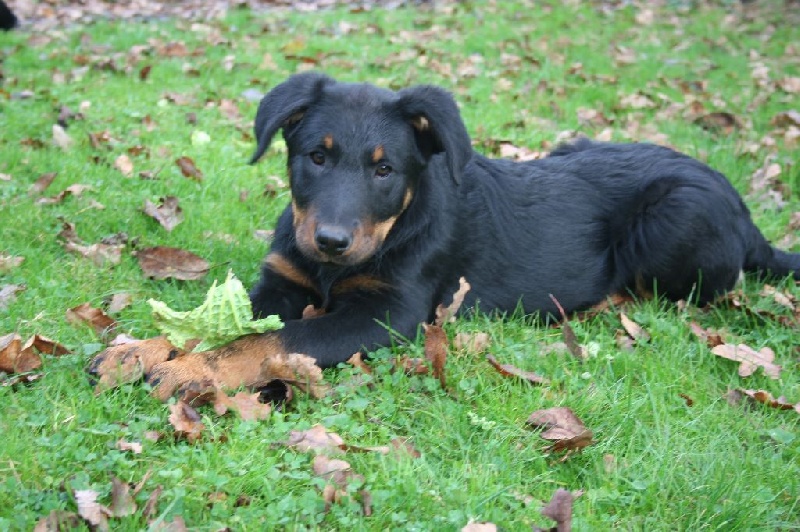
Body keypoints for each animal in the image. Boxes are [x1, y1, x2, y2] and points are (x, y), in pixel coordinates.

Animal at [89, 74, 800, 400]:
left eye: (385, 170)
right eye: (315, 157)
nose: (331, 241)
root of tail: (749, 219)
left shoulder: (389, 312)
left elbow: (267, 341)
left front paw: (192, 369)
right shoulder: (284, 281)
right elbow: (228, 324)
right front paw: (140, 349)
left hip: (674, 217)